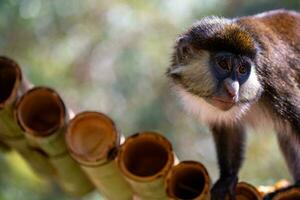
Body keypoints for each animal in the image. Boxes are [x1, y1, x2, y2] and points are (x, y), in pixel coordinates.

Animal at [166, 9, 300, 200]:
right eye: (223, 64)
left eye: (242, 69)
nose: (232, 89)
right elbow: (229, 129)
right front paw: (226, 180)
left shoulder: (274, 79)